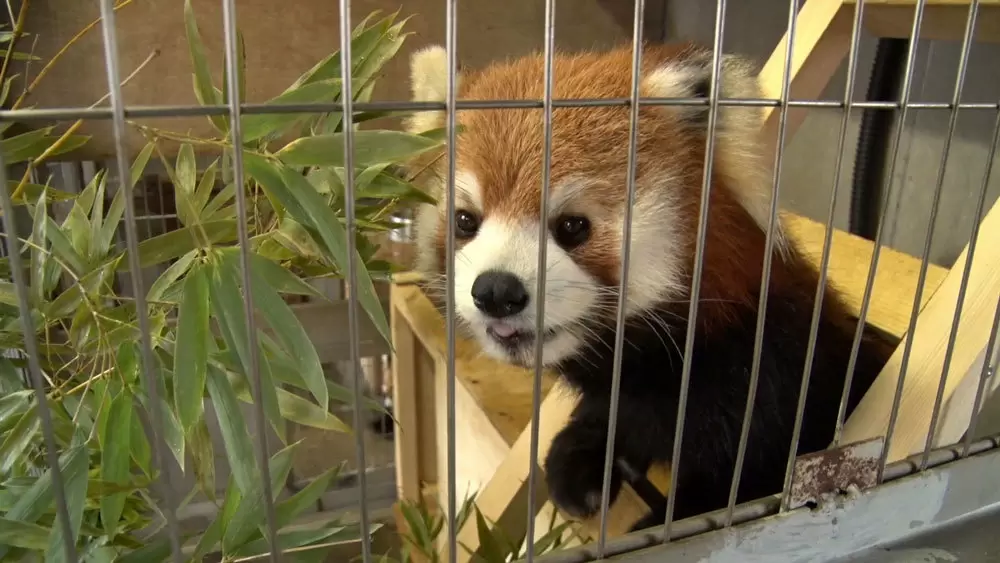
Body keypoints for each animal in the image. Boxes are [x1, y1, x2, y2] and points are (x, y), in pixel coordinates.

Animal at [402, 43, 896, 528]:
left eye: (573, 226)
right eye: (465, 221)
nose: (496, 292)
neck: (656, 365)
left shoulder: (770, 381)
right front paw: (581, 456)